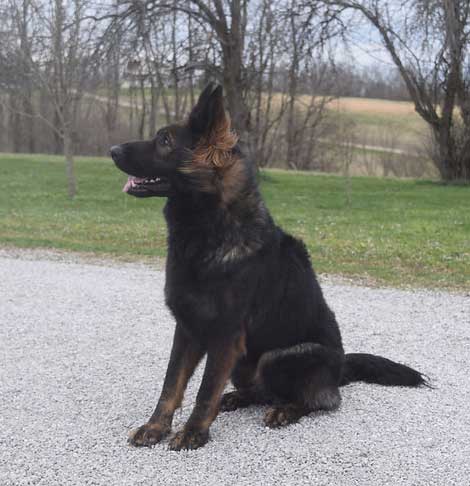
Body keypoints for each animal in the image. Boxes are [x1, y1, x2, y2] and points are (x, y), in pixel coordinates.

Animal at [110, 83, 426, 452]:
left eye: (164, 141)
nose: (112, 150)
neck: (211, 230)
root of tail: (340, 368)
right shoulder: (187, 329)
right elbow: (171, 384)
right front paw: (156, 426)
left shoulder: (224, 336)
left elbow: (205, 390)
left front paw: (193, 432)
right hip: (244, 364)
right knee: (262, 390)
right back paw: (239, 398)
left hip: (277, 358)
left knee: (321, 401)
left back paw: (286, 410)